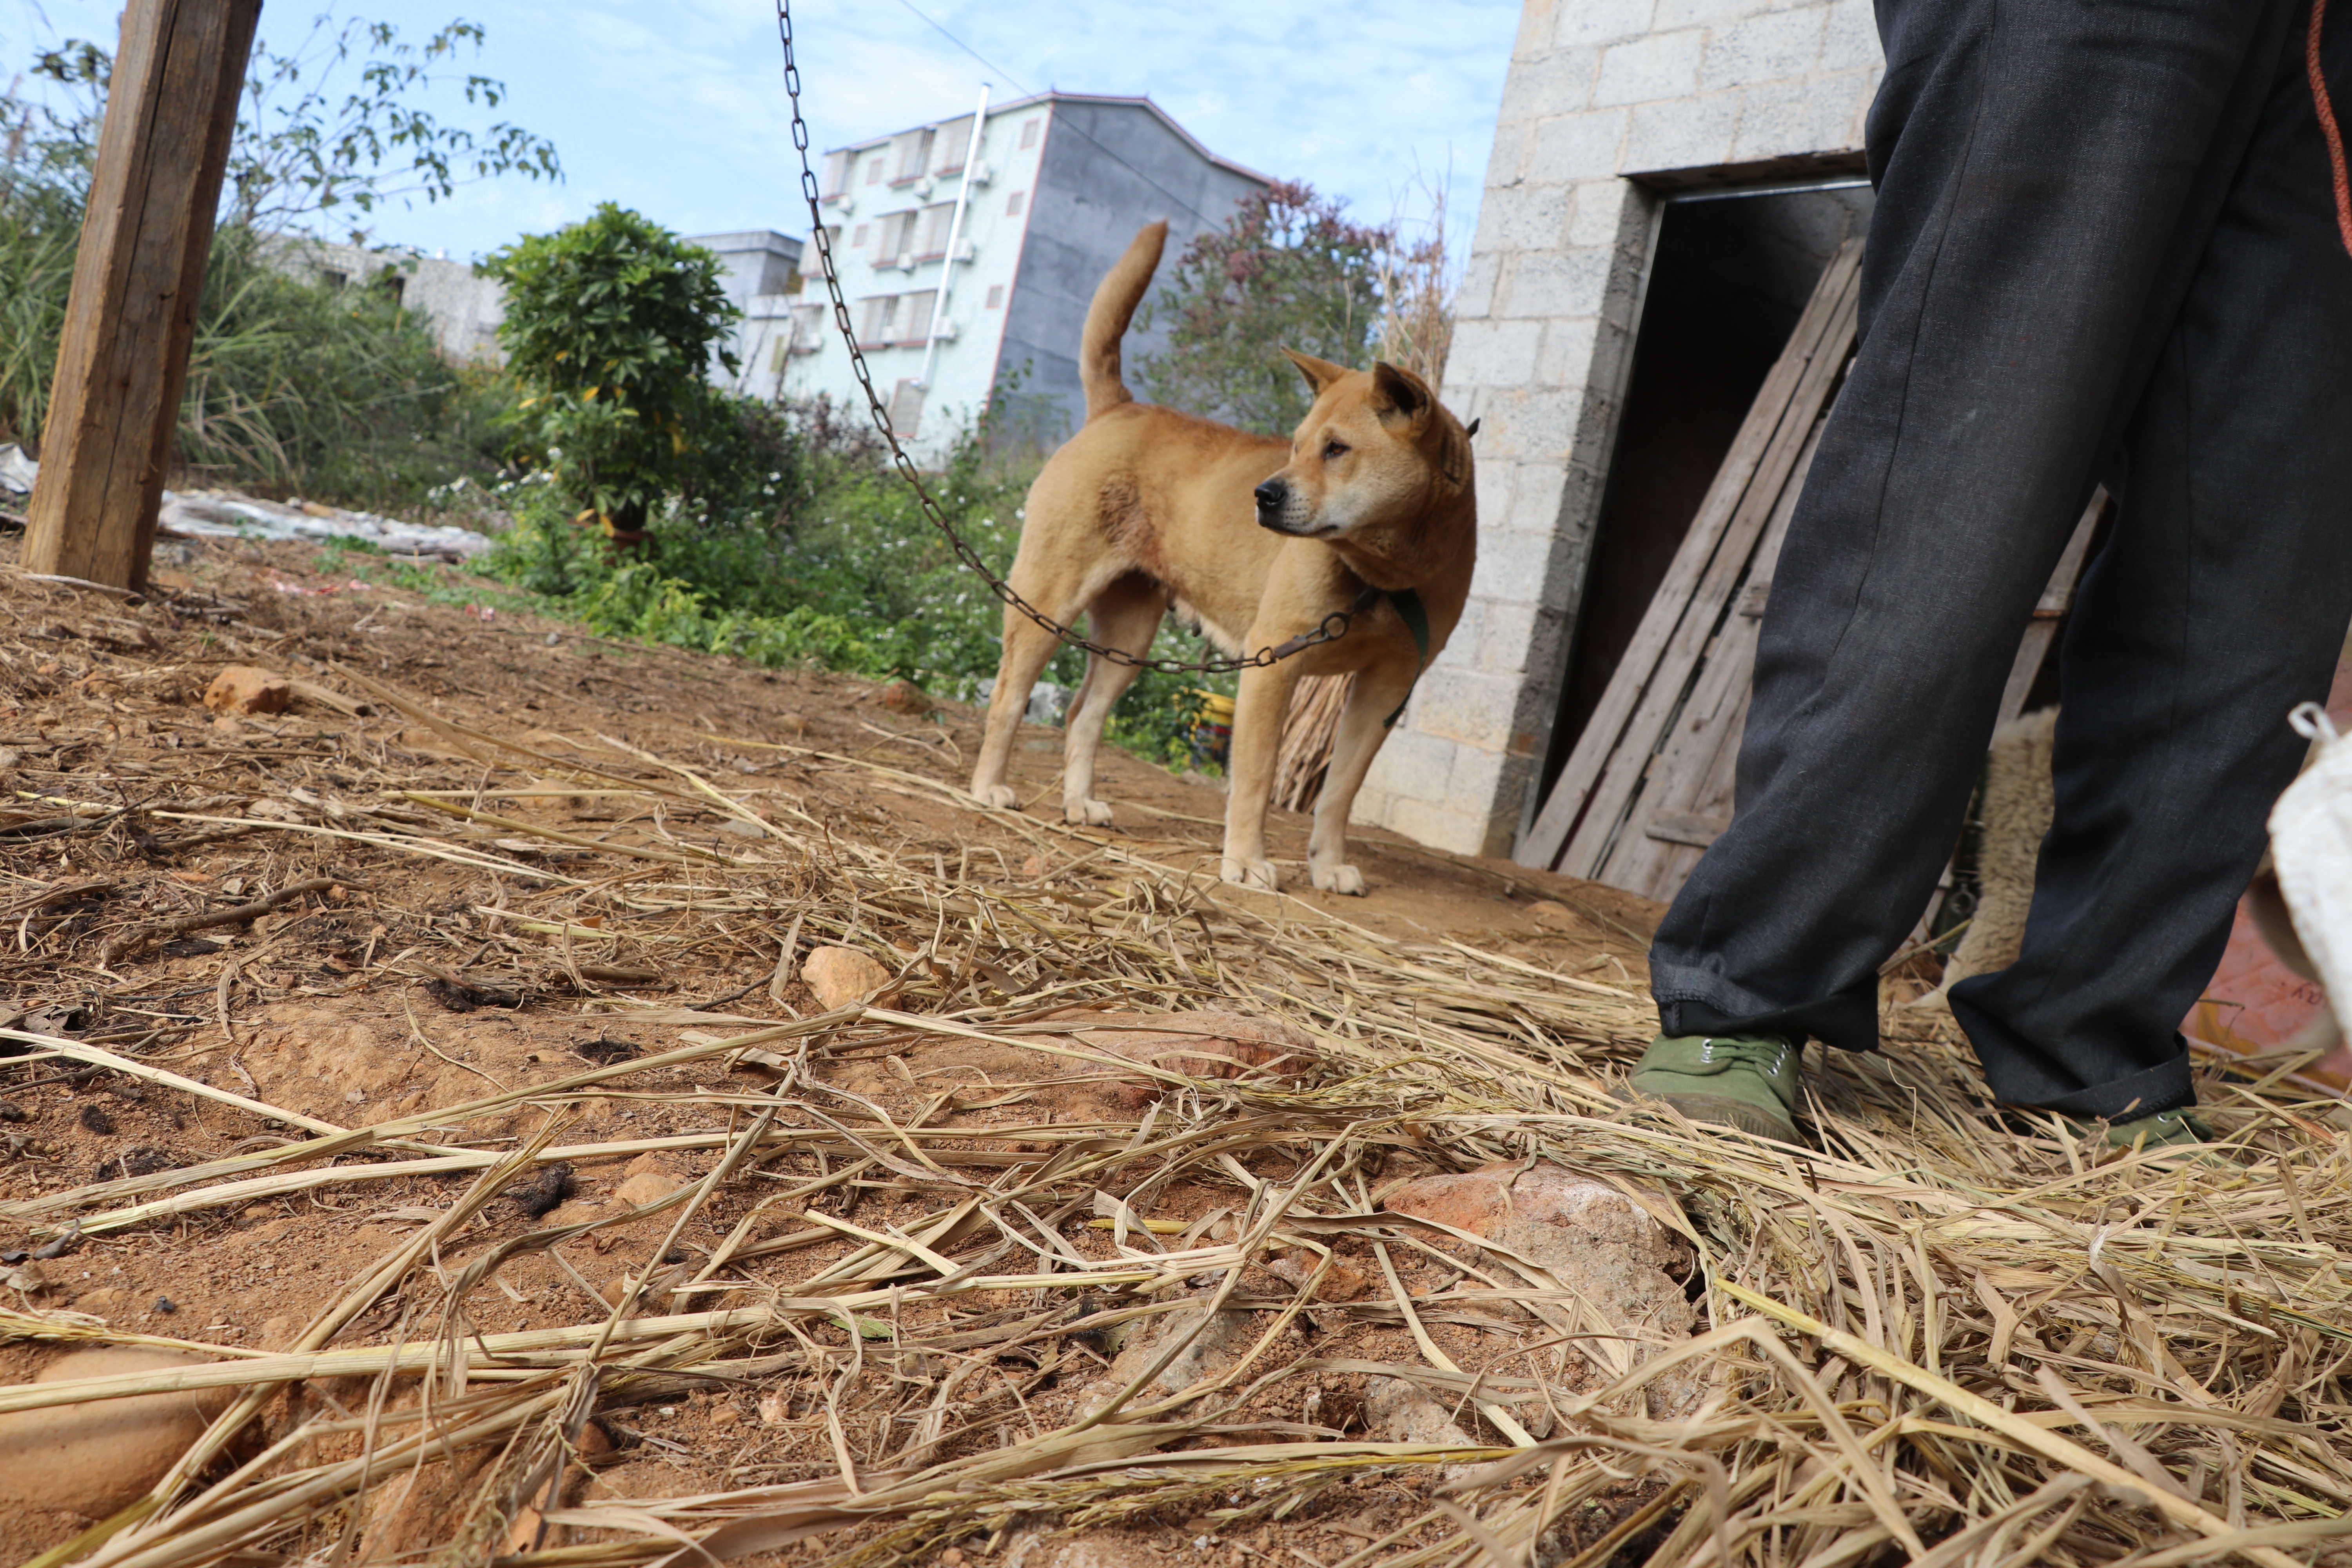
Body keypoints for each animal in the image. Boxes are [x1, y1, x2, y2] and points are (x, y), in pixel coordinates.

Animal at [969, 217, 1477, 893]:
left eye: (1337, 449)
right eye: (1295, 446)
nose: (1263, 495)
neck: (1382, 574)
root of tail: (1120, 407)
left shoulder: (1386, 689)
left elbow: (1339, 793)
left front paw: (1328, 865)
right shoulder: (1274, 666)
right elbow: (1256, 780)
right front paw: (1244, 861)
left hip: (1129, 638)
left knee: (1083, 713)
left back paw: (1079, 803)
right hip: (1045, 607)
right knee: (1007, 700)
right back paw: (988, 787)